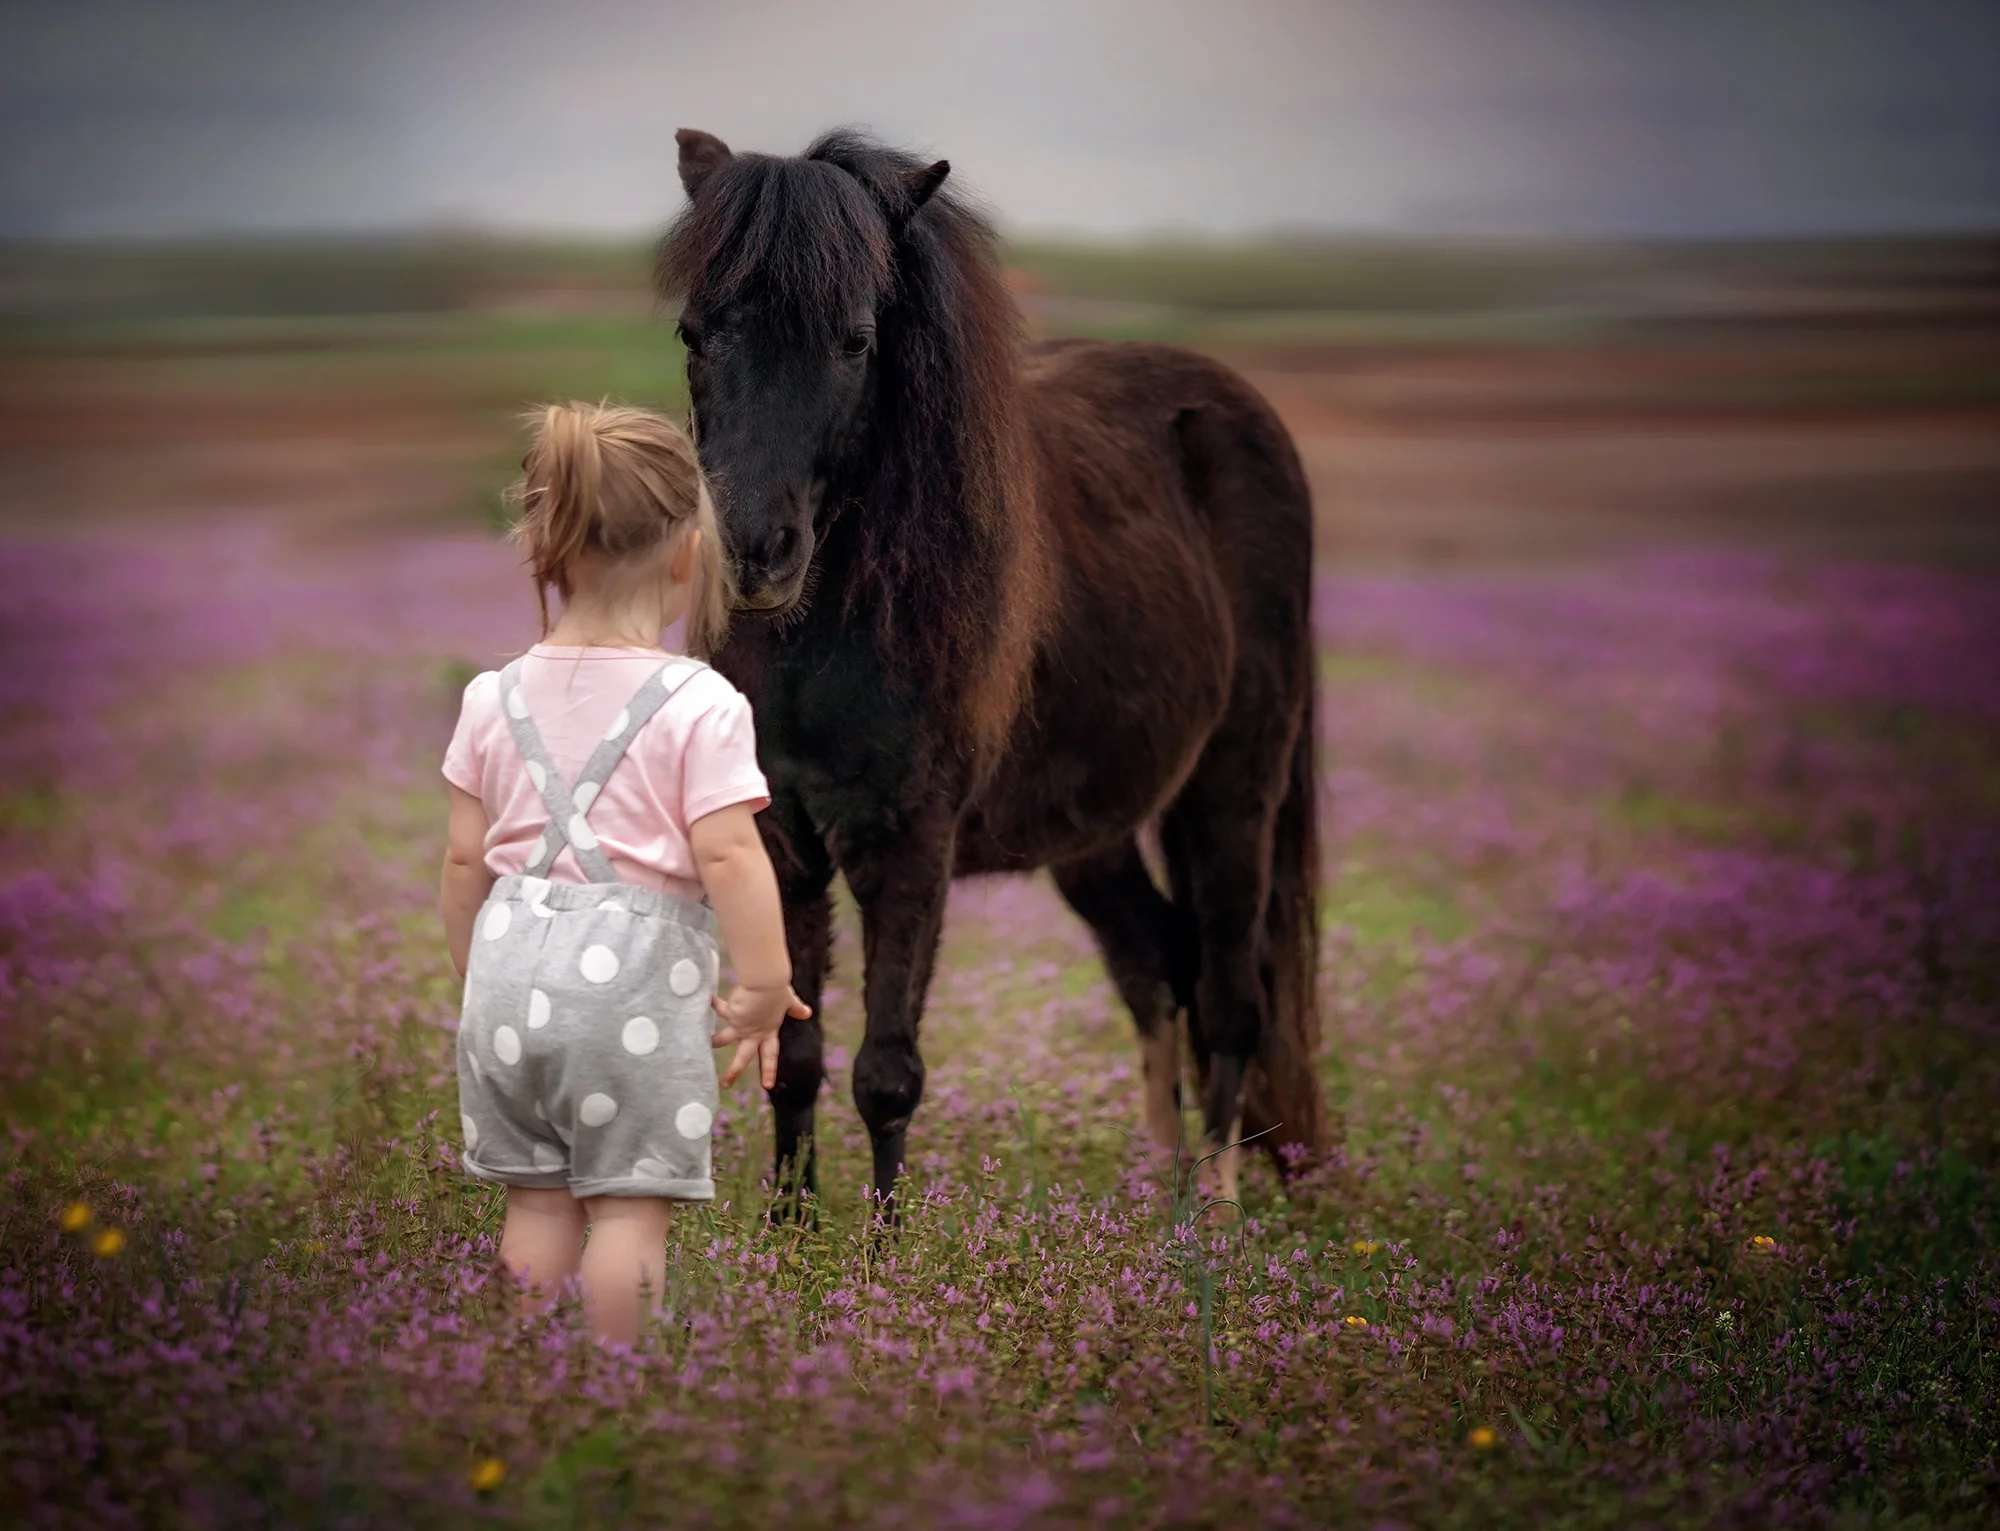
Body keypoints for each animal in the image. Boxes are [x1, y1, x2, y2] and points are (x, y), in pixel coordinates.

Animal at [661, 127, 1324, 1218]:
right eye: (693, 332)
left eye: (855, 340)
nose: (753, 554)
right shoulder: (778, 839)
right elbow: (792, 1055)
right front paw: (787, 1239)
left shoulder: (912, 843)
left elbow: (885, 1072)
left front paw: (880, 1255)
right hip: (1092, 831)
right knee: (1157, 966)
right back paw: (1159, 1194)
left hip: (1234, 786)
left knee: (1231, 995)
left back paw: (1216, 1212)